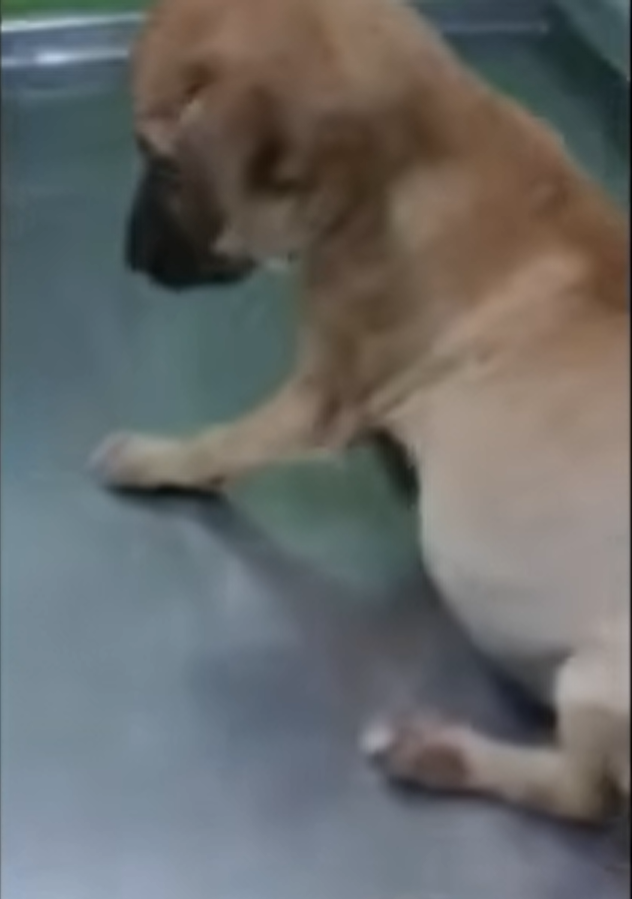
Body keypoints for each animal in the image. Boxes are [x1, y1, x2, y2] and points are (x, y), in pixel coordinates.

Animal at [93, 0, 630, 823]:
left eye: (163, 164)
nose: (129, 259)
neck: (406, 162)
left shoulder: (321, 390)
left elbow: (221, 443)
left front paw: (153, 458)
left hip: (599, 680)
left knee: (582, 793)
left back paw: (438, 754)